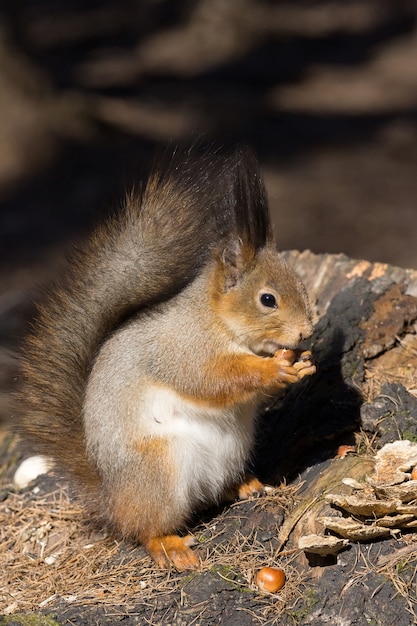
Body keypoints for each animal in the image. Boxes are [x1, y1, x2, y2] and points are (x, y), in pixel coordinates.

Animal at [16, 143, 316, 572]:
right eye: (267, 299)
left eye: (302, 284)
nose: (306, 331)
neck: (217, 320)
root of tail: (112, 498)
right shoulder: (184, 349)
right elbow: (212, 379)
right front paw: (274, 368)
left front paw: (303, 362)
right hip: (158, 471)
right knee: (145, 528)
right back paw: (168, 545)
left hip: (231, 452)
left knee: (214, 491)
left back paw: (245, 485)